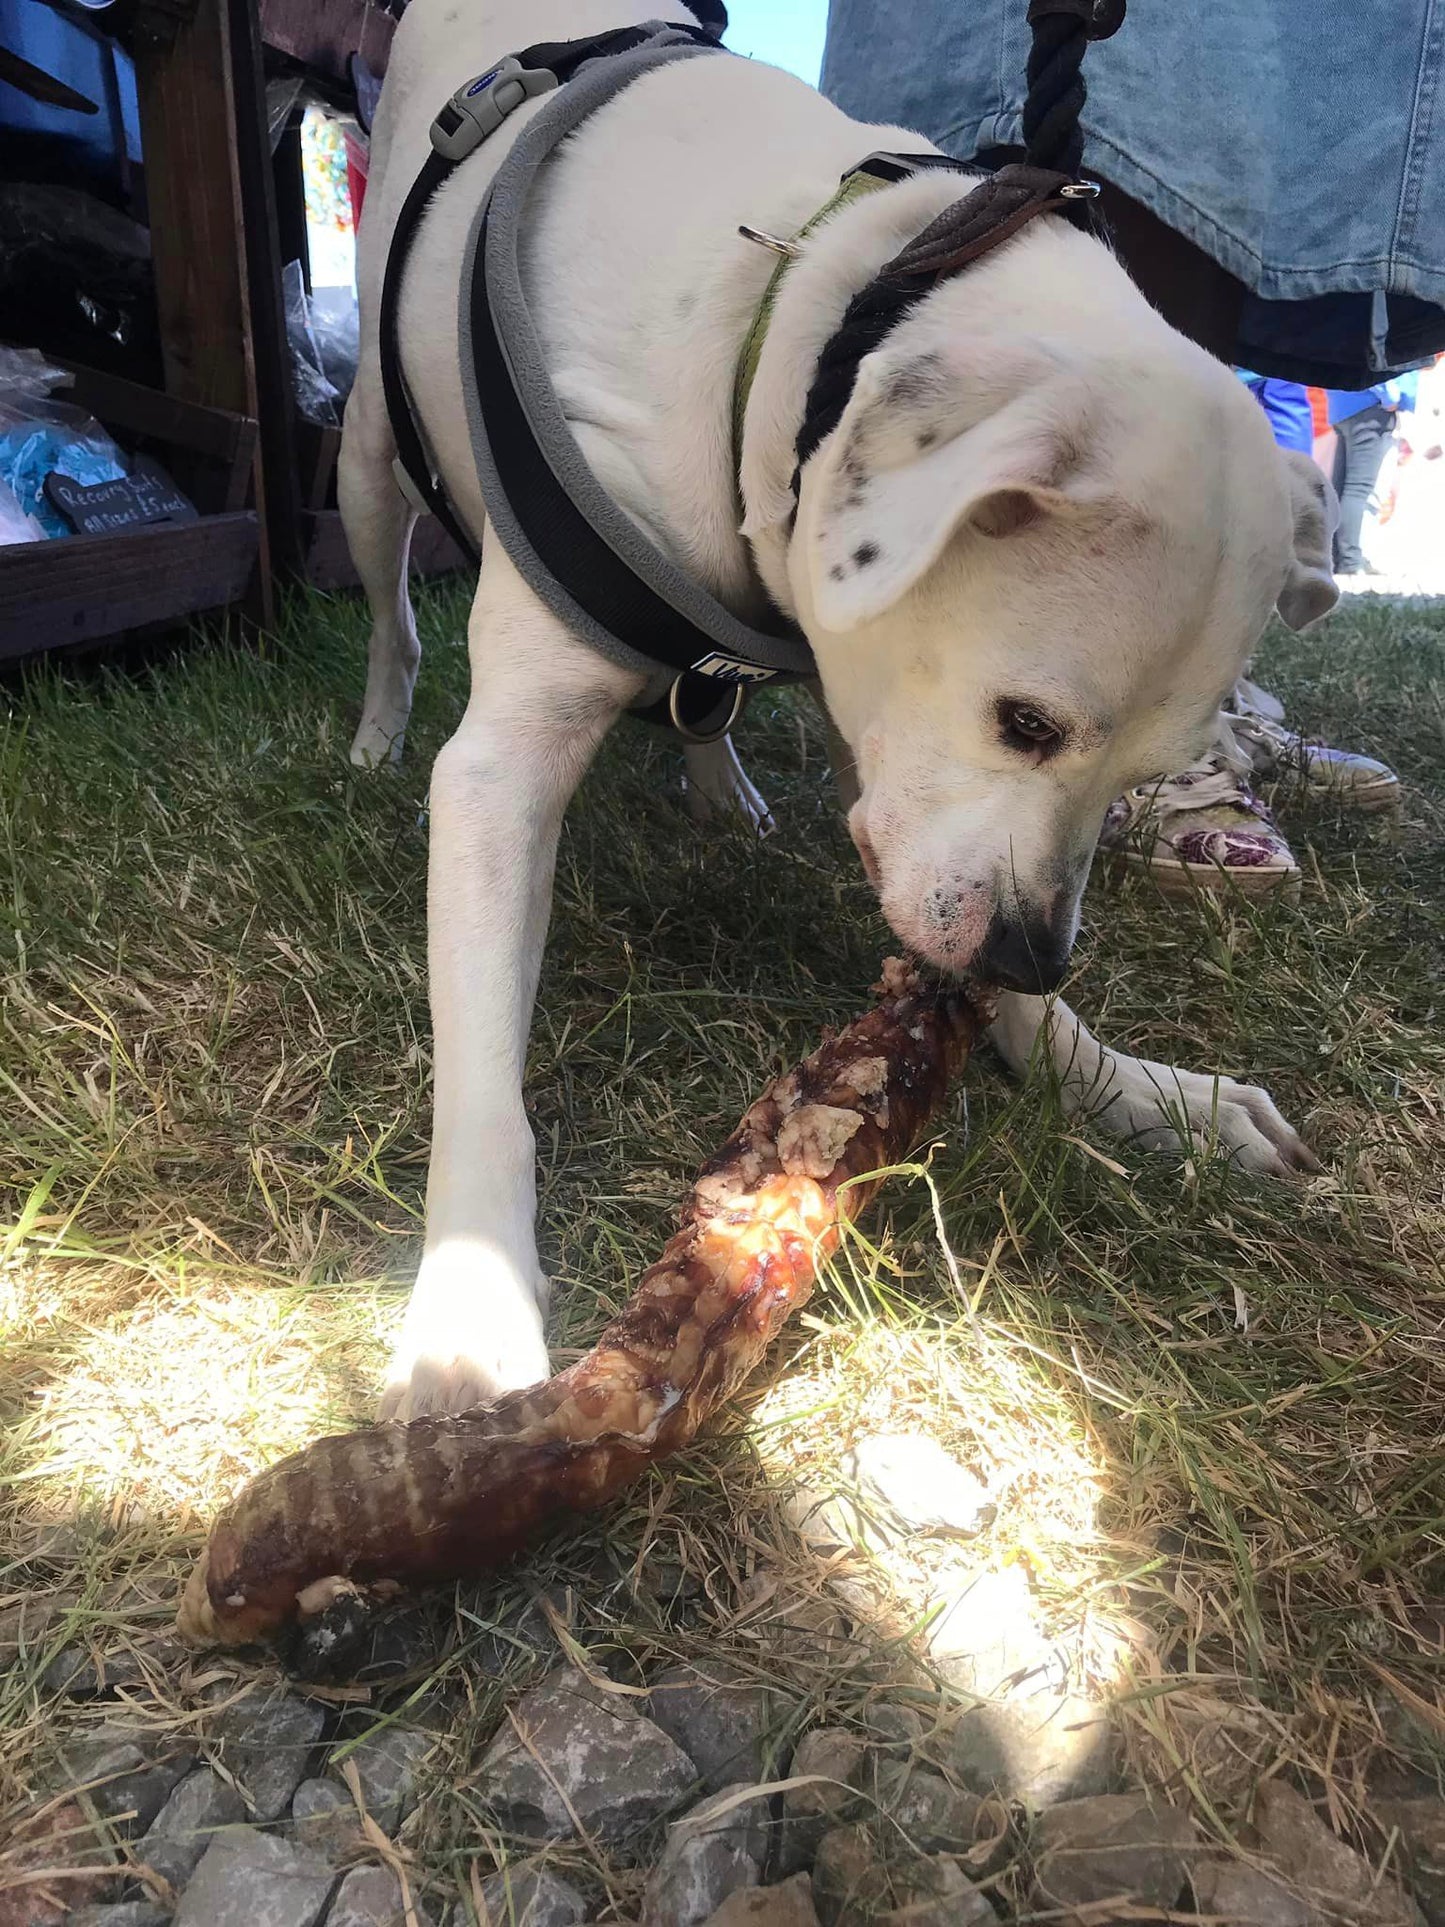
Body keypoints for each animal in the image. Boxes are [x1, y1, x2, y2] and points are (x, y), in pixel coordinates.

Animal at [339, 0, 1333, 1418]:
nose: (1035, 954)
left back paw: (721, 790)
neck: (795, 313)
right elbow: (481, 1061)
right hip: (370, 459)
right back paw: (373, 736)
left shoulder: (939, 823)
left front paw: (1133, 1087)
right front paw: (469, 1304)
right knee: (391, 613)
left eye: (1147, 771)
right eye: (1023, 721)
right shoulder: (499, 776)